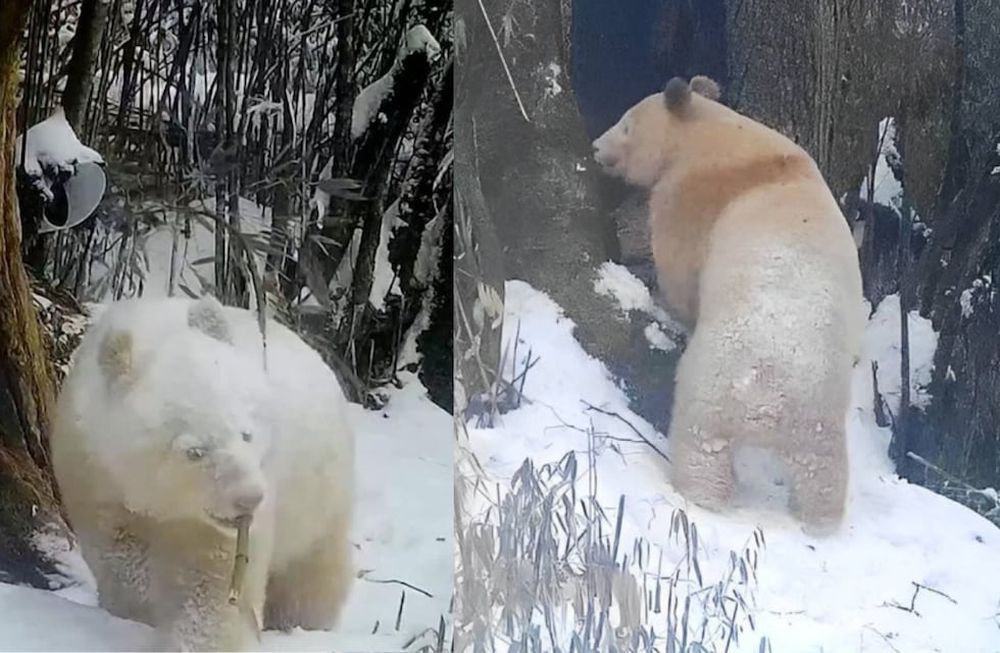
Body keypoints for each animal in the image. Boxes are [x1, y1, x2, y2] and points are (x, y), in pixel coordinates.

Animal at [50, 295, 355, 650]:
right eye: (194, 451)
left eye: (246, 434)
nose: (250, 498)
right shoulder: (94, 472)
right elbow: (119, 555)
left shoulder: (215, 524)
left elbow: (211, 583)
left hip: (320, 495)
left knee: (310, 575)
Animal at [591, 75, 864, 534]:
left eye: (626, 124)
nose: (596, 147)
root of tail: (770, 409)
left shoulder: (695, 191)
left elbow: (679, 266)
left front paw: (662, 298)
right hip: (820, 414)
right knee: (823, 472)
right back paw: (818, 519)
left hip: (716, 380)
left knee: (700, 440)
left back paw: (701, 494)